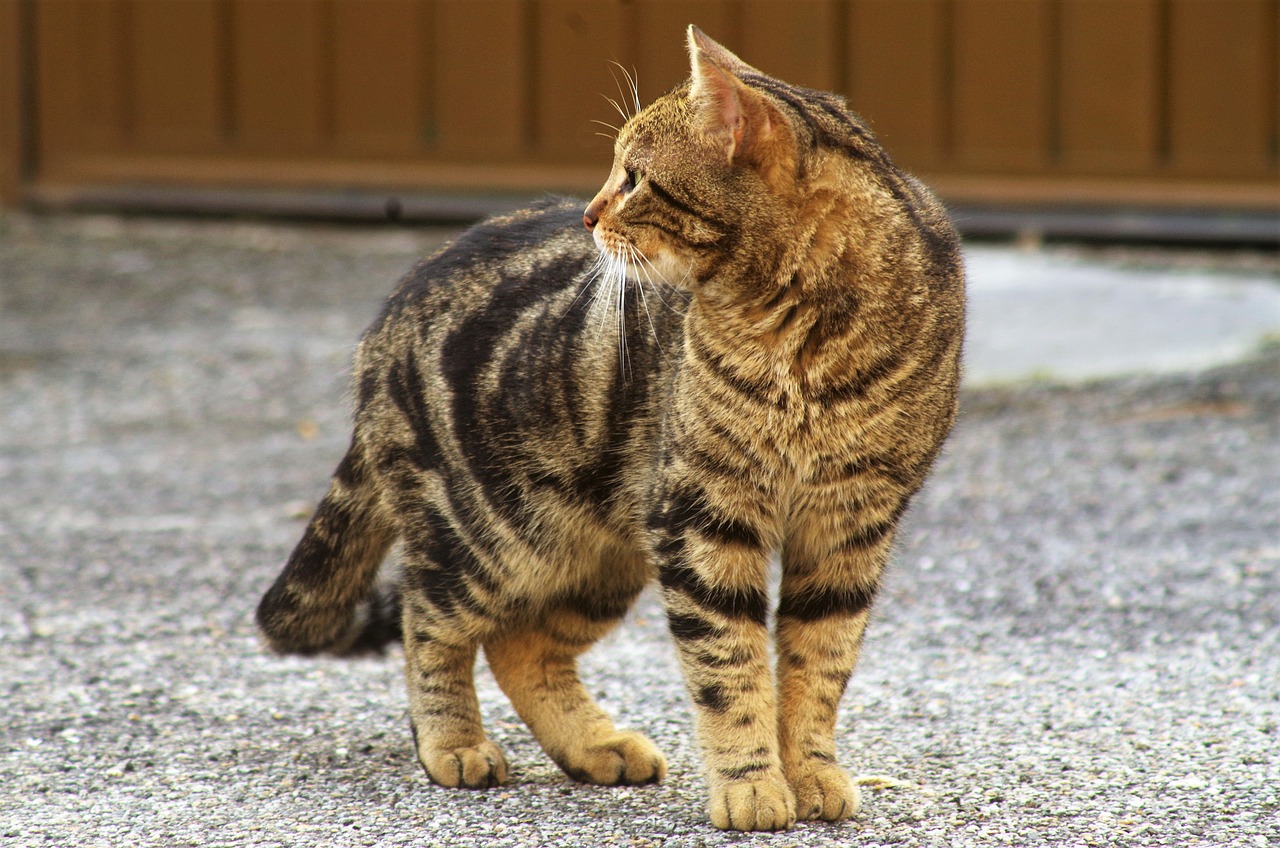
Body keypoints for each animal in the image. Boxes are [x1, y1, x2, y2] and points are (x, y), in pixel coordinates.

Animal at [254, 28, 962, 835]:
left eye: (633, 177)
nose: (589, 216)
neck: (799, 334)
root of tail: (388, 312)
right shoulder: (704, 521)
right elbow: (730, 668)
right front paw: (751, 784)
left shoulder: (850, 527)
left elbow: (819, 668)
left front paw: (810, 772)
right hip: (491, 538)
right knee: (429, 621)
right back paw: (453, 743)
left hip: (603, 550)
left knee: (519, 644)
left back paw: (595, 745)